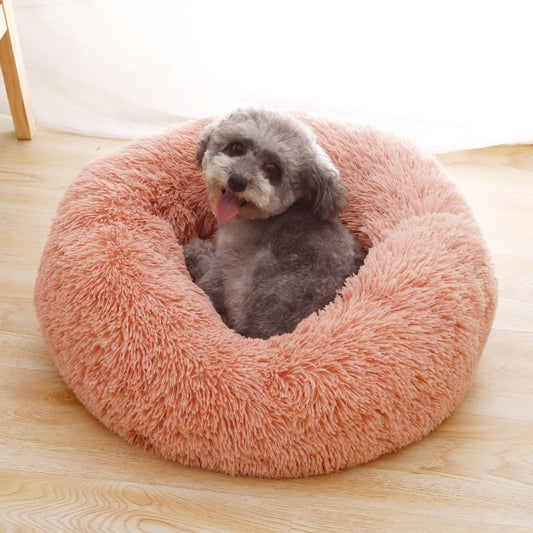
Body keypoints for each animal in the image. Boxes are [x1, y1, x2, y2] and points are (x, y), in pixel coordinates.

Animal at [184, 108, 366, 338]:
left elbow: (210, 273)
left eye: (272, 168)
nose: (237, 181)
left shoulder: (229, 257)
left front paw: (196, 251)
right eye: (237, 147)